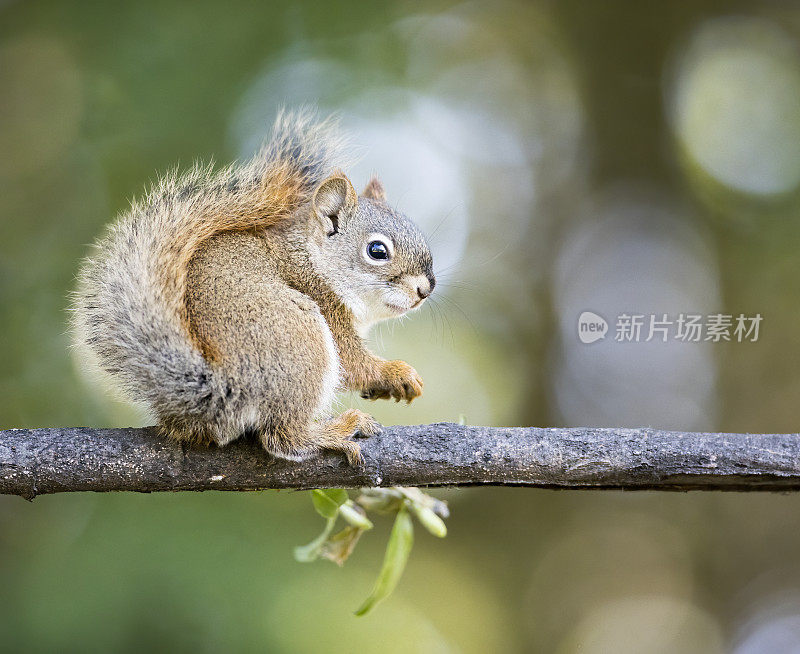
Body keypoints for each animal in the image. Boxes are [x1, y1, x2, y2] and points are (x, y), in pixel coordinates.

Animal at [74, 110, 434, 466]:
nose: (425, 289)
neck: (314, 260)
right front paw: (396, 373)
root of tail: (221, 388)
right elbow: (353, 363)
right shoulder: (327, 307)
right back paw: (334, 431)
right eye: (377, 251)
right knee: (284, 437)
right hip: (299, 337)